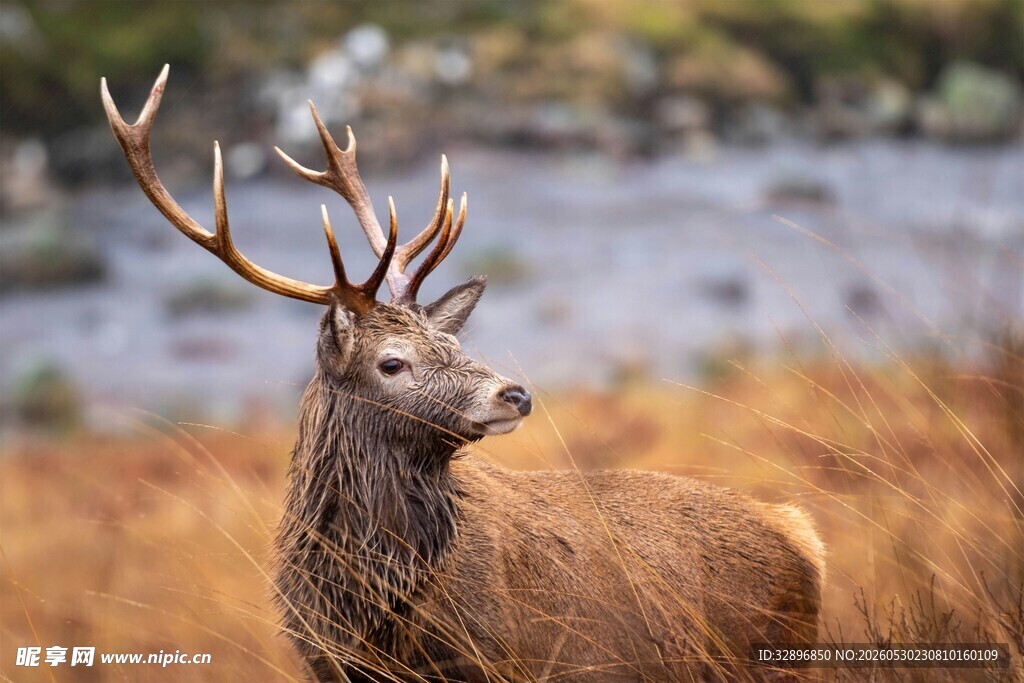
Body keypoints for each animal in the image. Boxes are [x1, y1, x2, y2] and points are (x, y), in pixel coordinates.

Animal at [102, 66, 825, 682]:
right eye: (393, 361)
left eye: (453, 337)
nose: (515, 392)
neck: (369, 613)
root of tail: (804, 536)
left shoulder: (506, 658)